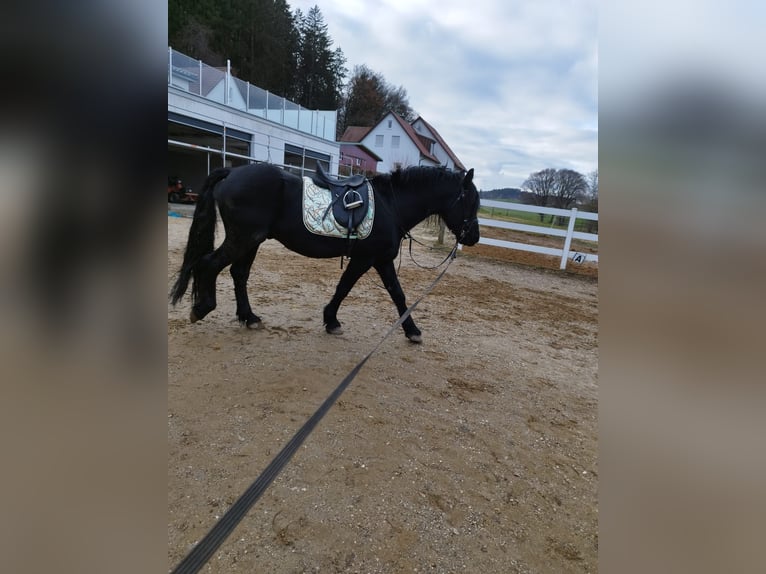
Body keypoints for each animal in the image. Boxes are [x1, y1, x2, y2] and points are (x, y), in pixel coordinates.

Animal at [169, 163, 480, 343]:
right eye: (472, 201)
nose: (474, 237)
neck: (391, 204)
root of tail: (233, 172)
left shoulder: (381, 260)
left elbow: (397, 294)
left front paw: (411, 330)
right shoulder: (366, 259)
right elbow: (345, 287)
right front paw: (331, 320)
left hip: (251, 240)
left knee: (238, 273)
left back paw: (249, 317)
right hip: (243, 238)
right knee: (209, 264)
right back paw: (202, 308)